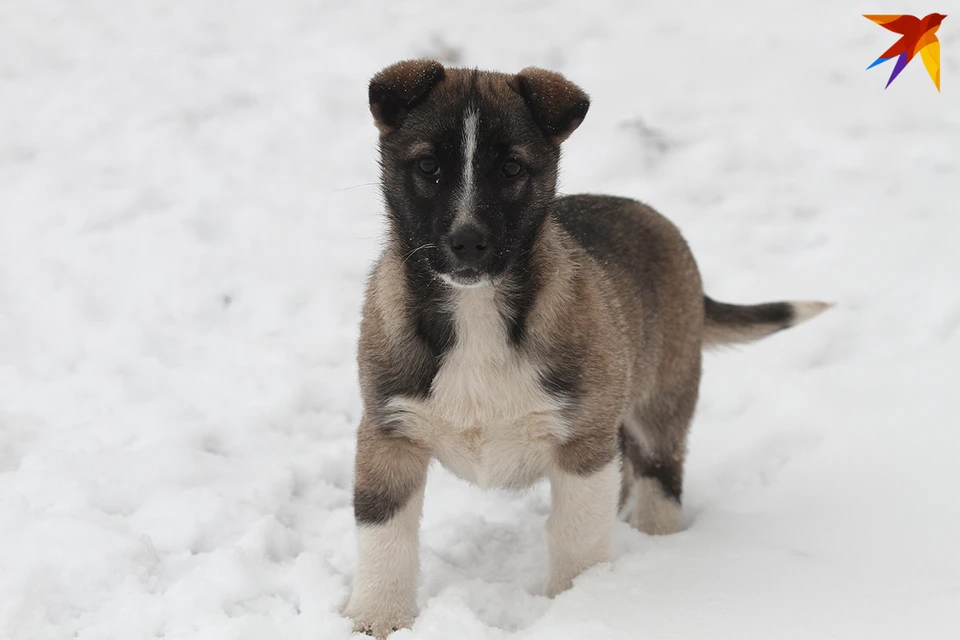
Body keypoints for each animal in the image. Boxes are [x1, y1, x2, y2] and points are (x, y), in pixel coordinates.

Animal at [344, 58, 832, 636]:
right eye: (427, 166)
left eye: (511, 169)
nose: (467, 243)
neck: (476, 311)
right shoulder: (387, 433)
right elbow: (384, 540)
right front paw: (376, 619)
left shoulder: (583, 446)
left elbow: (576, 537)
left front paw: (581, 607)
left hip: (661, 406)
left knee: (658, 480)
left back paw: (658, 543)